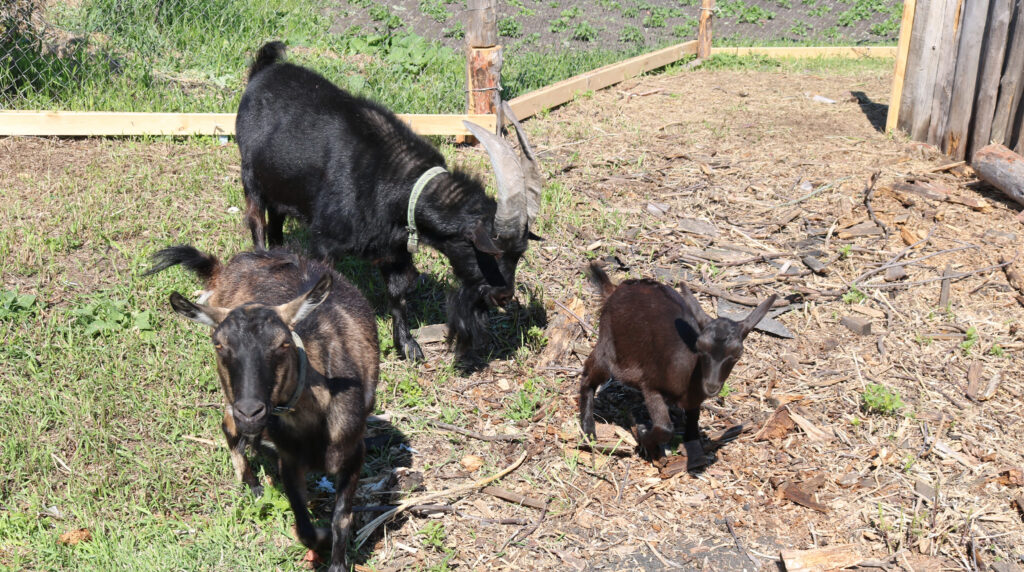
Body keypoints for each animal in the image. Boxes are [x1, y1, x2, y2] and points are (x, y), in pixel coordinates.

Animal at [146, 246, 378, 572]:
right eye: (218, 344)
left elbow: (341, 518)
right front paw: (321, 539)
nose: (250, 412)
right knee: (227, 426)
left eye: (283, 344)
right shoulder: (289, 461)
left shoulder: (354, 453)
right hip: (230, 394)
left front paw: (337, 562)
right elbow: (304, 528)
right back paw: (252, 483)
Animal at [234, 41, 540, 362]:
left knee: (276, 220)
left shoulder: (393, 250)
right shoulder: (324, 242)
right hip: (250, 176)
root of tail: (263, 69)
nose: (504, 295)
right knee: (256, 221)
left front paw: (407, 345)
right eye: (490, 250)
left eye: (519, 254)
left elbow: (397, 293)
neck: (391, 181)